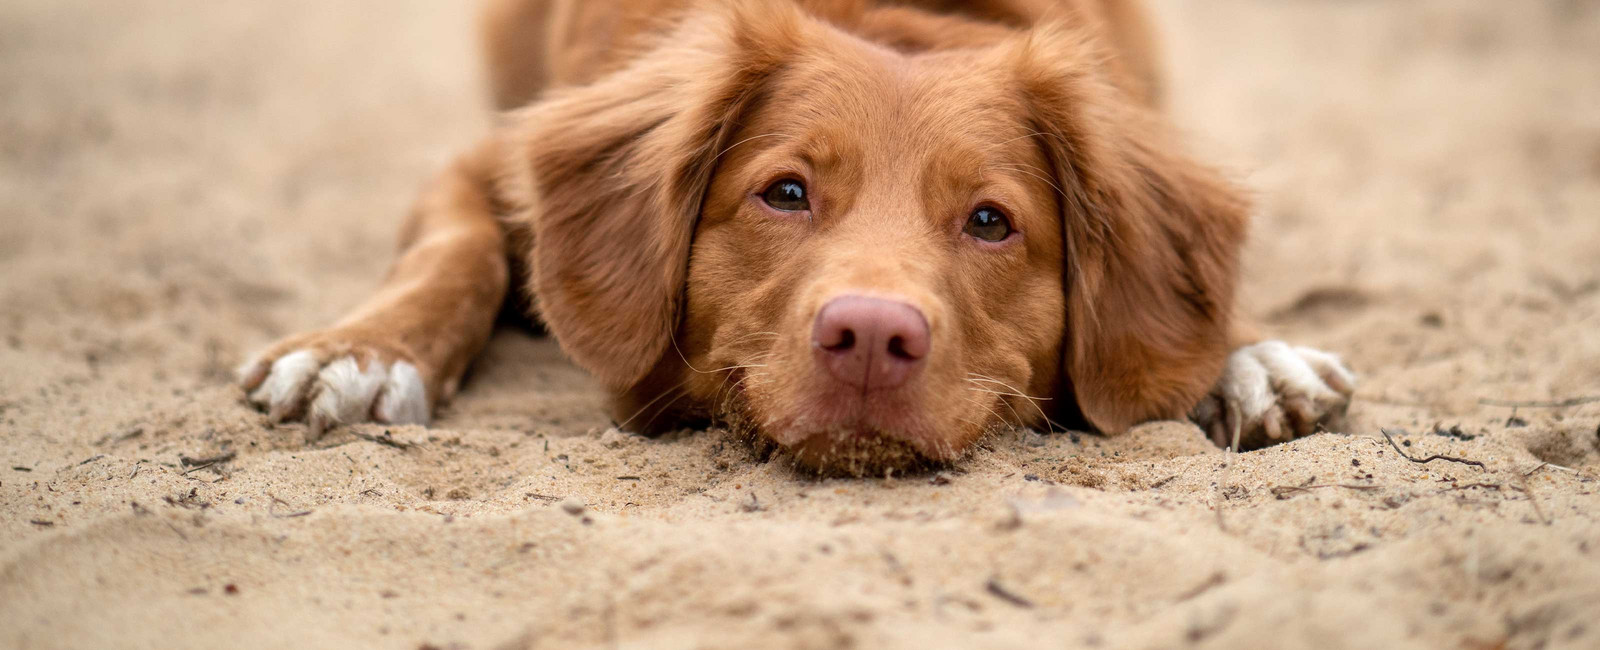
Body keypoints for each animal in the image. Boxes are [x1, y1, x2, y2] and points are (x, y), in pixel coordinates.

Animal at [236, 0, 1356, 470]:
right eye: (784, 193)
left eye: (990, 221)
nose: (870, 337)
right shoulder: (488, 160)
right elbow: (453, 251)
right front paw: (360, 350)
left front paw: (1247, 353)